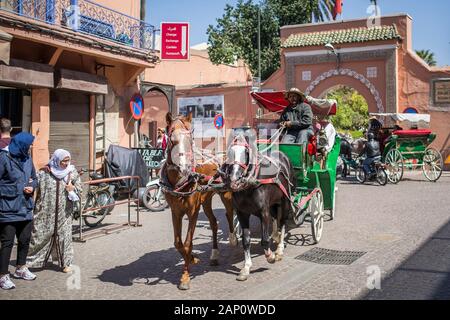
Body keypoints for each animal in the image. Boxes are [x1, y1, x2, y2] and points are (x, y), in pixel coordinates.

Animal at [163, 112, 239, 290]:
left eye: (190, 139)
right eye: (172, 140)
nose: (184, 167)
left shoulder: (192, 211)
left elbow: (188, 243)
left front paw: (185, 276)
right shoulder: (176, 211)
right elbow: (178, 243)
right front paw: (191, 259)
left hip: (225, 194)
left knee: (230, 213)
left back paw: (233, 238)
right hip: (206, 199)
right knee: (214, 223)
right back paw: (214, 254)